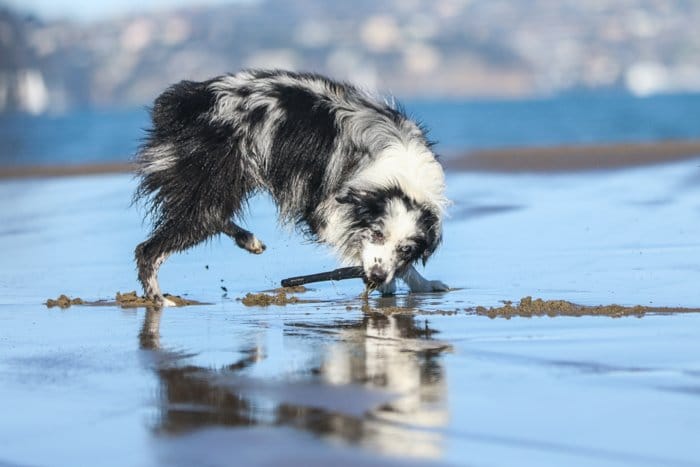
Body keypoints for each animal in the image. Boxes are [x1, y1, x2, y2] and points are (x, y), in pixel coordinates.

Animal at [134, 68, 448, 304]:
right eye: (377, 233)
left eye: (406, 249)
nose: (377, 276)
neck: (402, 174)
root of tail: (187, 100)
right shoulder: (324, 209)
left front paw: (419, 283)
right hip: (210, 182)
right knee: (150, 248)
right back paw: (158, 299)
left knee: (212, 217)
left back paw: (249, 240)